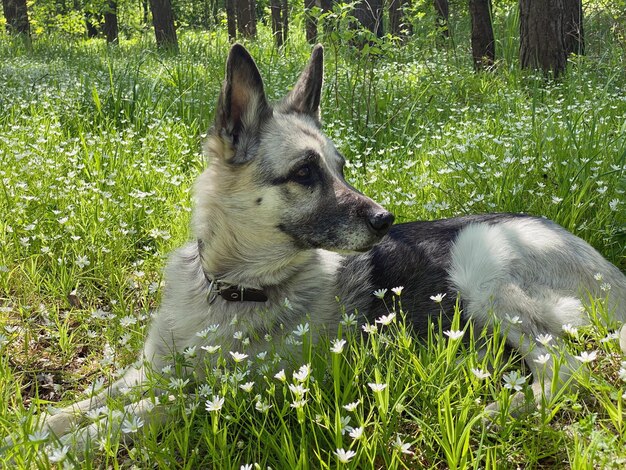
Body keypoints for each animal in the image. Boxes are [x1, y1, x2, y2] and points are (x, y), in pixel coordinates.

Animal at [13, 45, 624, 452]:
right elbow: (80, 407)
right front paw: (33, 430)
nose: (387, 220)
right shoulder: (152, 372)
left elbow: (119, 419)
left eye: (341, 169)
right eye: (306, 173)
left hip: (483, 263)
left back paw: (500, 409)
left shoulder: (211, 392)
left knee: (568, 370)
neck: (230, 289)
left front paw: (49, 454)